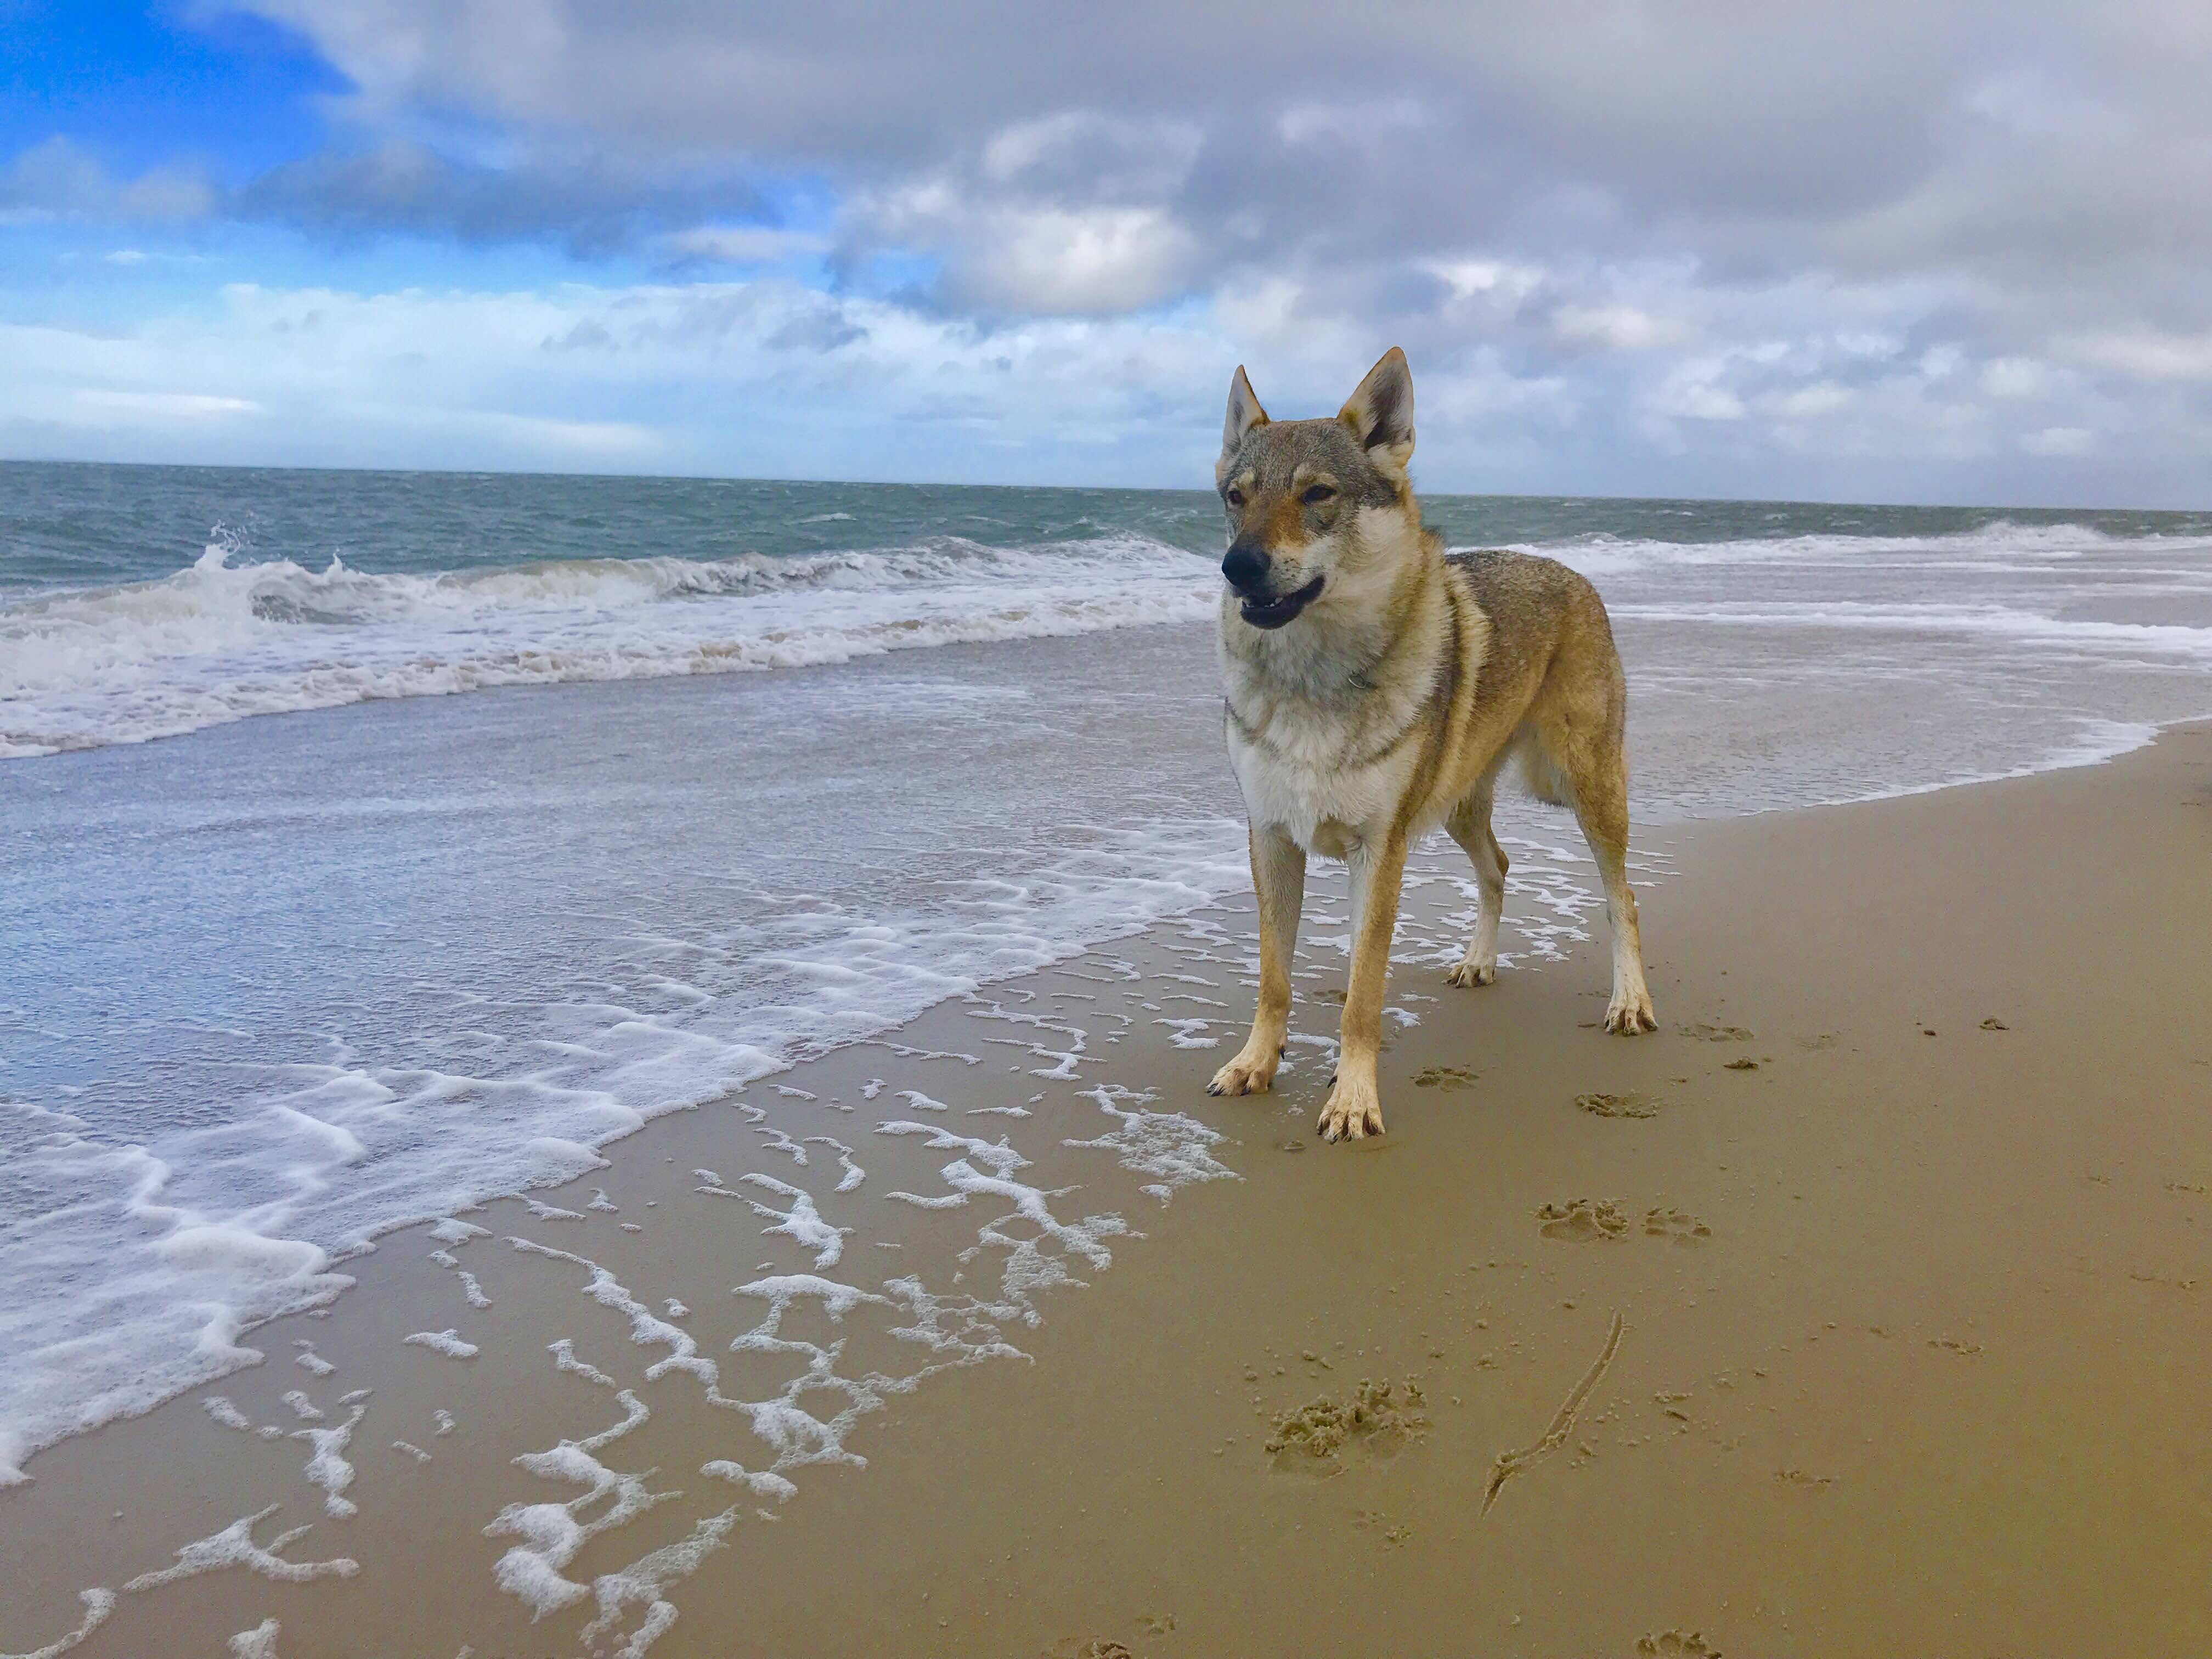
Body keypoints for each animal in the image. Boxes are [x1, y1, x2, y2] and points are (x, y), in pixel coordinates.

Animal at [1203, 352, 1654, 1141]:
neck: (1313, 681)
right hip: (1458, 809)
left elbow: (1362, 996)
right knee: (1499, 867)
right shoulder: (1272, 839)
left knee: (1621, 898)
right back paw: (1478, 964)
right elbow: (1274, 980)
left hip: (1586, 793)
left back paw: (1629, 1003)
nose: (1238, 567)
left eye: (1317, 494)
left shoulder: (1379, 851)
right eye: (1238, 497)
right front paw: (1257, 1063)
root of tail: (1576, 576)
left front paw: (1353, 1100)